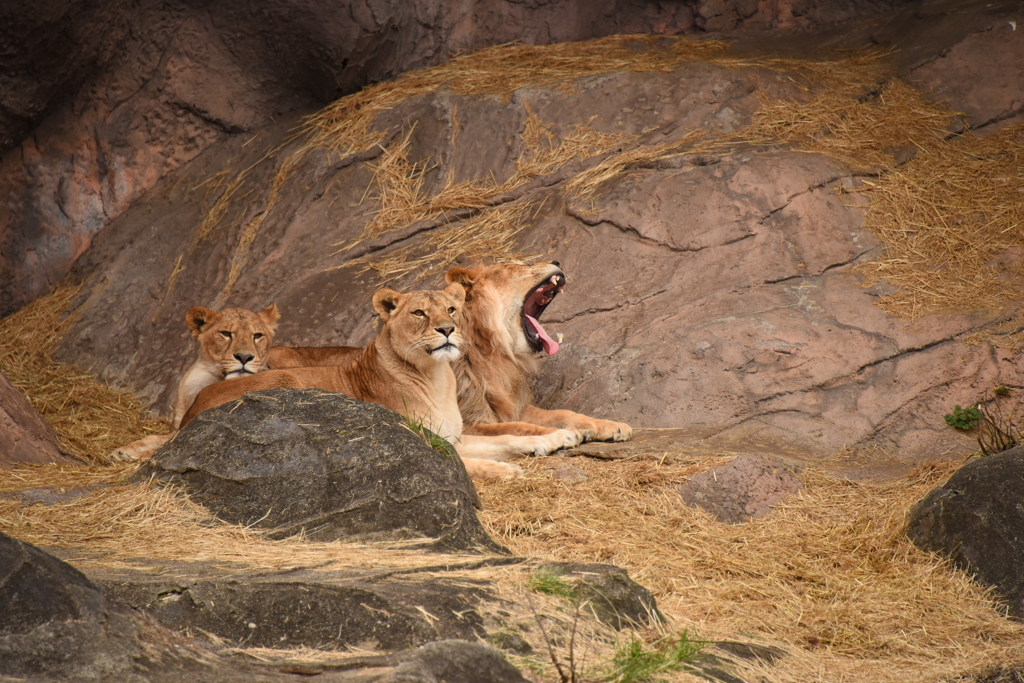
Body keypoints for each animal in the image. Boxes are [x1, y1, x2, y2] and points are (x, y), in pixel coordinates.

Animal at [180, 282, 581, 481]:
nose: (447, 329)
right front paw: (506, 470)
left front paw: (558, 438)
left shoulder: (451, 435)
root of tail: (190, 412)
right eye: (419, 313)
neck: (436, 377)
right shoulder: (422, 441)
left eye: (451, 309)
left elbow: (506, 439)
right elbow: (471, 462)